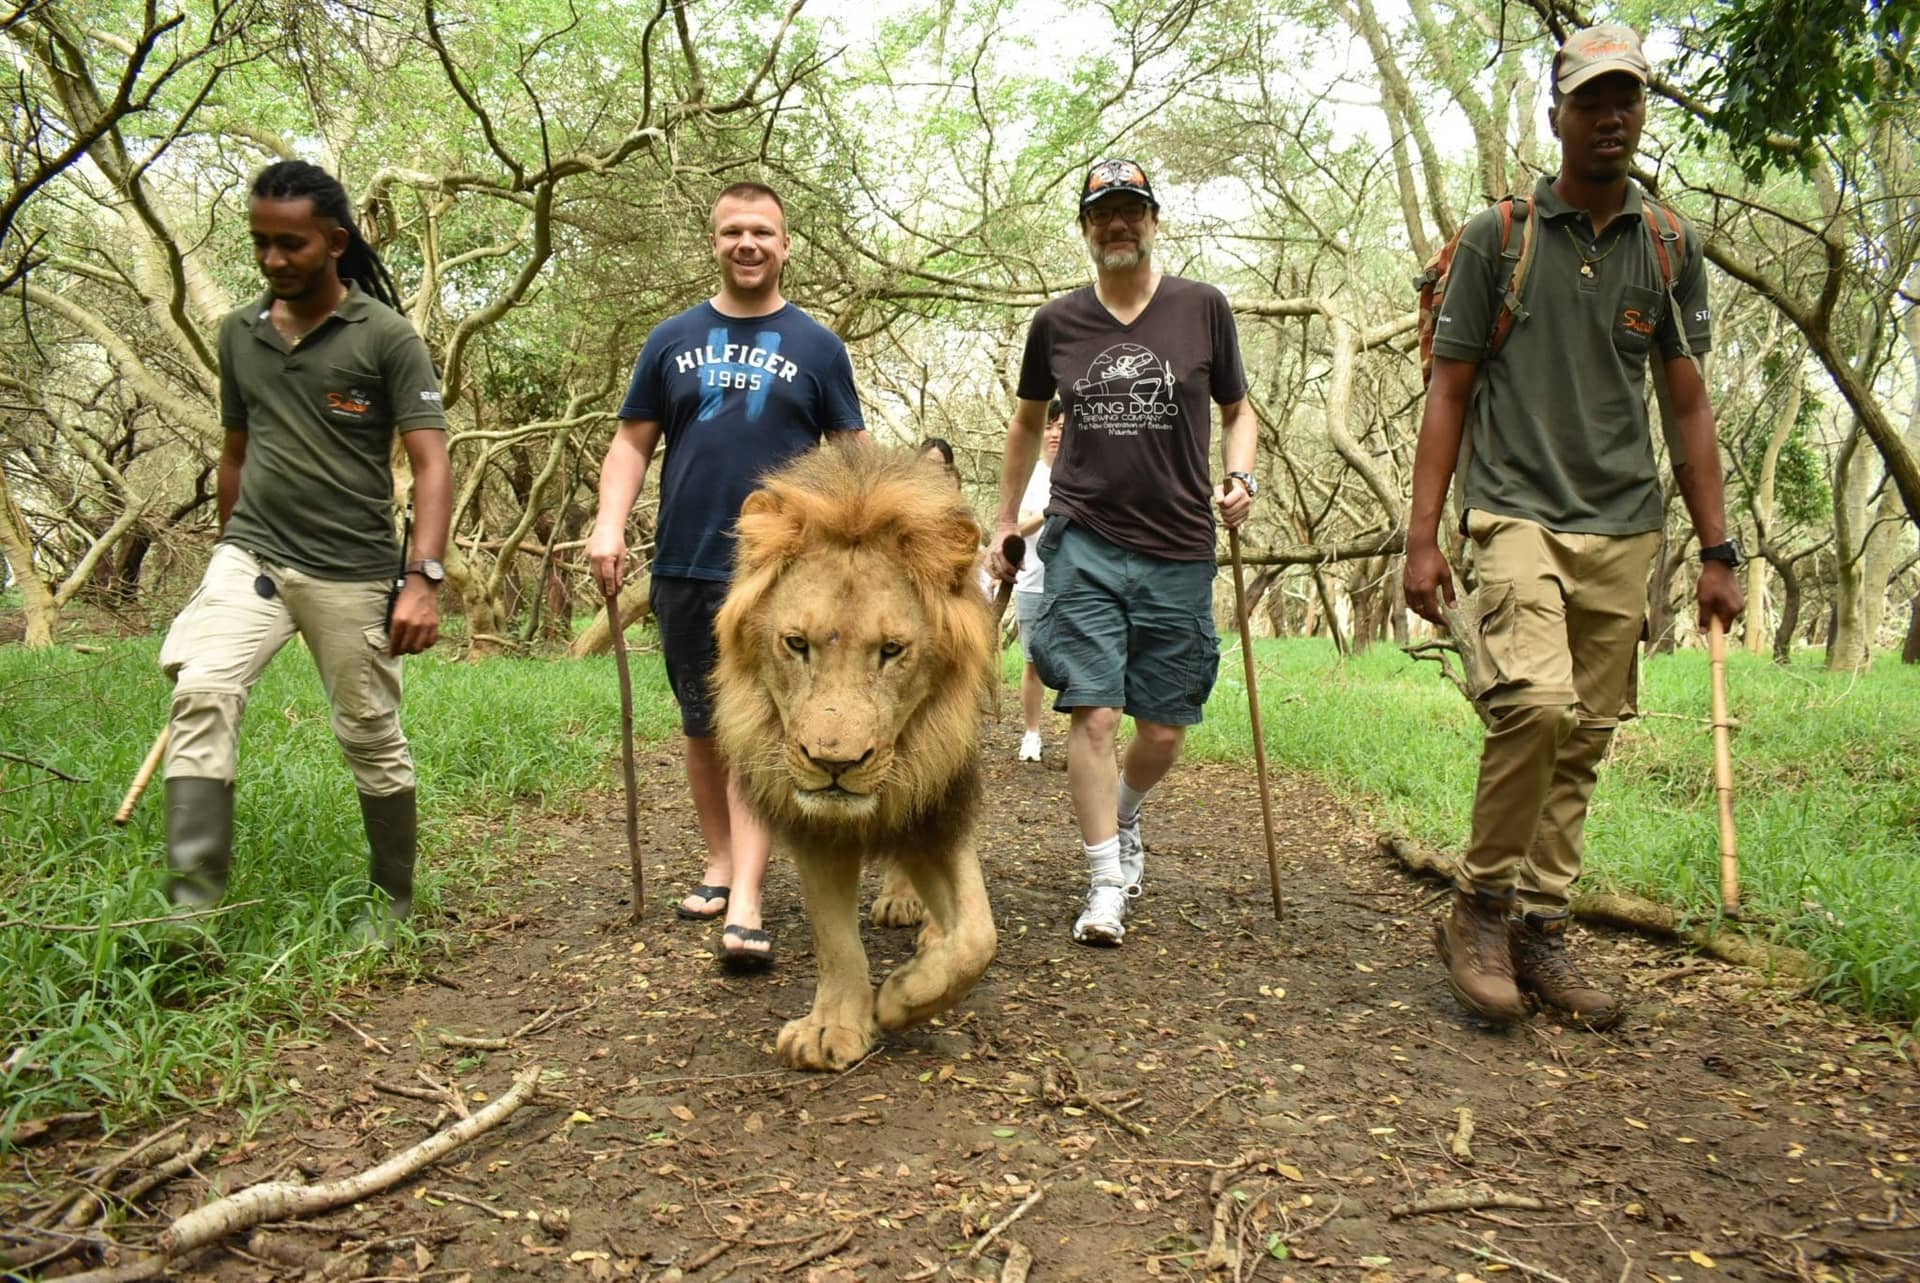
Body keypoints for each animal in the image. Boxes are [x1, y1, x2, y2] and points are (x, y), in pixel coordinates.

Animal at [714, 445, 998, 1067]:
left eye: (891, 651)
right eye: (797, 644)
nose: (834, 765)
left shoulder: (940, 805)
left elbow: (976, 939)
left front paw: (902, 997)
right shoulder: (813, 825)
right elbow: (835, 941)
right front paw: (834, 1029)